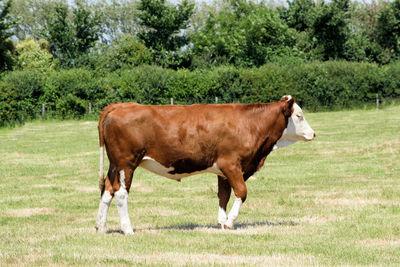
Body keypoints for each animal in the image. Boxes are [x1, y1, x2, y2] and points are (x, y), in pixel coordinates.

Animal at [95, 96, 314, 234]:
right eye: (299, 116)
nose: (313, 133)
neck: (249, 124)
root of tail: (119, 106)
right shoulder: (231, 164)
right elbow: (241, 192)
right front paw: (231, 222)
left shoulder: (223, 170)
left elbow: (223, 195)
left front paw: (222, 223)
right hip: (126, 163)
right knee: (121, 193)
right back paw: (128, 229)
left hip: (114, 165)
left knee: (107, 190)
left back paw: (100, 227)